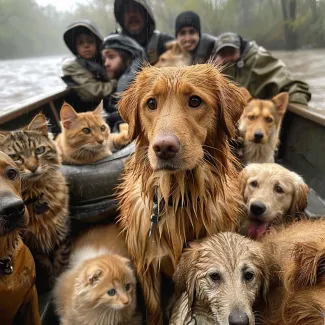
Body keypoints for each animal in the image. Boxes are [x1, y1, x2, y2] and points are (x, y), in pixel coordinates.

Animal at [0, 114, 70, 292]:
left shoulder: (61, 232)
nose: (33, 167)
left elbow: (61, 262)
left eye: (39, 150)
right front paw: (51, 283)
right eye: (16, 157)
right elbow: (46, 266)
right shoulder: (35, 245)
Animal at [117, 63, 246, 324]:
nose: (164, 147)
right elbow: (154, 309)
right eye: (151, 103)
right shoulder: (147, 265)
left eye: (195, 101)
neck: (179, 198)